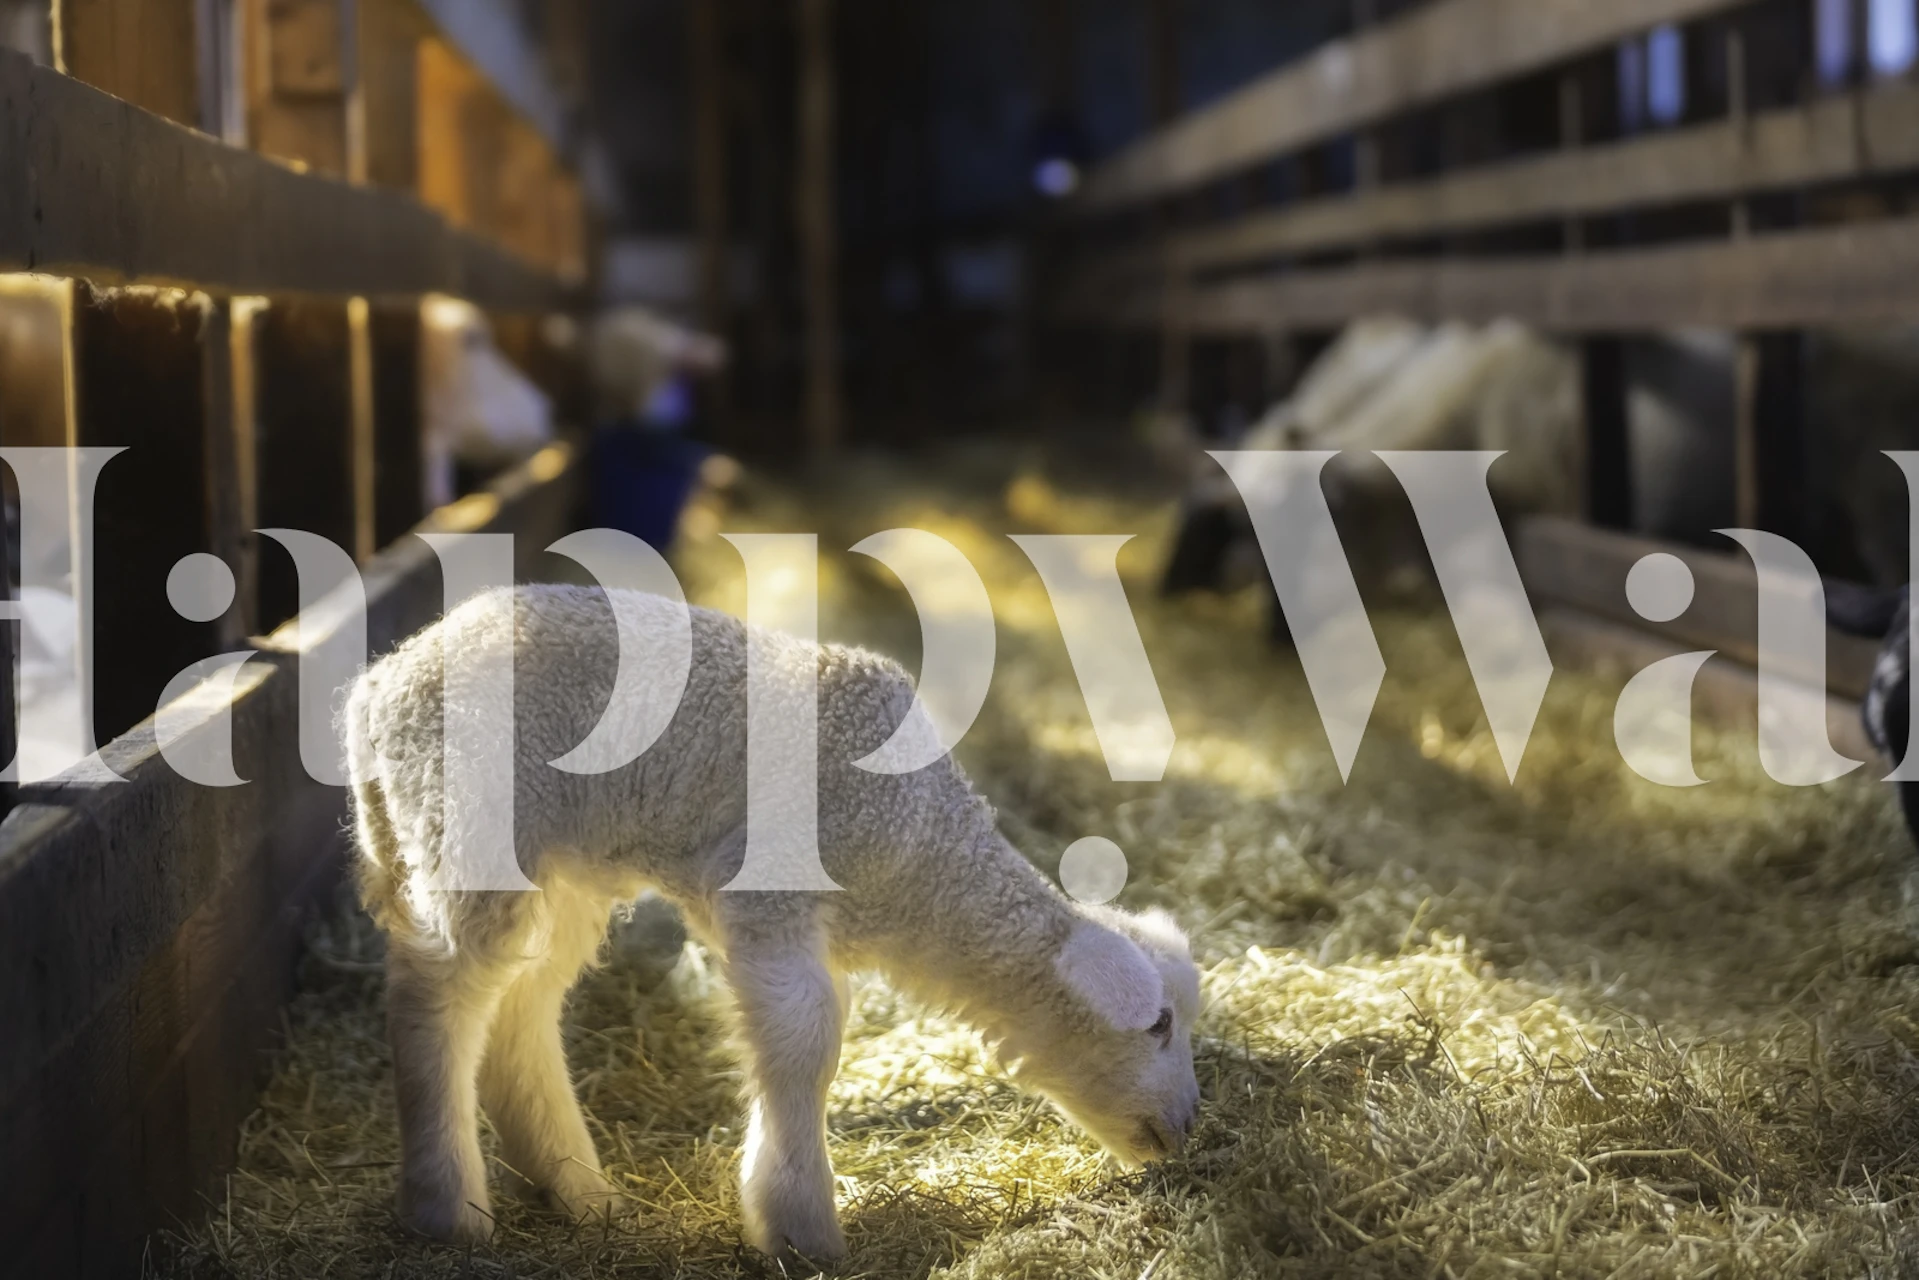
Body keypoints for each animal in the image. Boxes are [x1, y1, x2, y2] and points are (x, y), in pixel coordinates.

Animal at [344, 584, 1202, 1258]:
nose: (1190, 1126)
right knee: (437, 997)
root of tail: (379, 684)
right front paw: (800, 1227)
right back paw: (447, 1210)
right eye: (1157, 1025)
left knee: (519, 1008)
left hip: (559, 867)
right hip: (468, 821)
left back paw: (581, 1195)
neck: (918, 859)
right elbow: (805, 1043)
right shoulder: (770, 887)